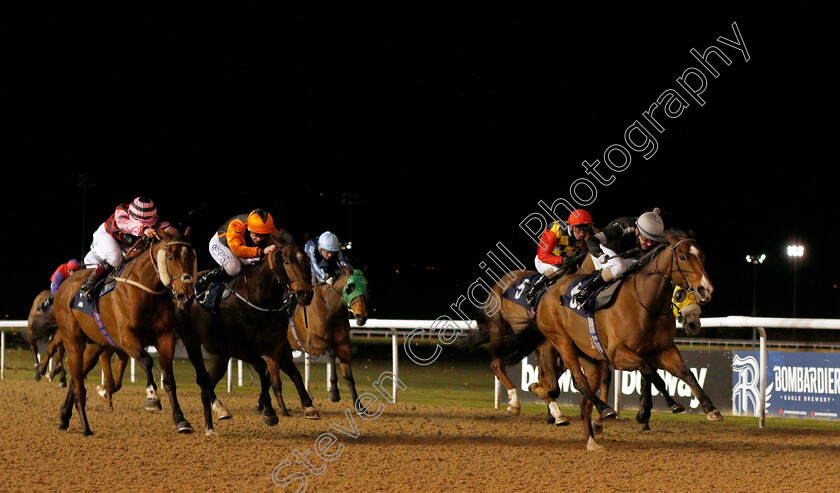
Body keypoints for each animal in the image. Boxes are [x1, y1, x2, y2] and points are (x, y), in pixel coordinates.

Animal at [53, 227, 198, 434]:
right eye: (170, 257)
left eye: (192, 257)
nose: (186, 296)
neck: (145, 289)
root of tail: (65, 284)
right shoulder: (126, 337)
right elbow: (146, 360)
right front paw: (152, 398)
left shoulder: (165, 337)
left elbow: (169, 379)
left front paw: (181, 419)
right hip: (73, 341)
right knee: (77, 379)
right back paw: (85, 426)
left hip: (94, 346)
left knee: (76, 377)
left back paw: (65, 417)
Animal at [182, 229, 316, 428]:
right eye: (286, 261)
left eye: (306, 260)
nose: (305, 293)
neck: (259, 298)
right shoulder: (240, 348)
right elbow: (264, 371)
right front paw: (268, 411)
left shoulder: (278, 344)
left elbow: (293, 373)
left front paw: (309, 406)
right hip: (193, 342)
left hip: (219, 354)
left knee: (208, 381)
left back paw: (220, 409)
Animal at [274, 266, 370, 412]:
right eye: (350, 288)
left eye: (366, 286)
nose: (361, 316)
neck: (329, 307)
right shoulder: (312, 344)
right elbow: (331, 352)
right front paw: (334, 393)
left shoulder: (343, 344)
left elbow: (348, 376)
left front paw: (359, 406)